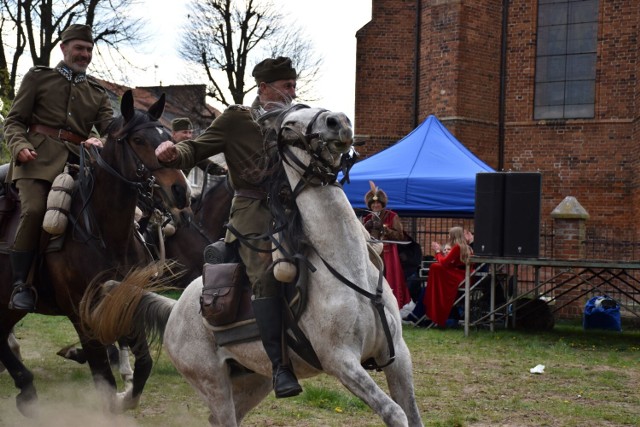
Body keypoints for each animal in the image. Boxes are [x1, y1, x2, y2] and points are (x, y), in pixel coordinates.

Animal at [0, 88, 190, 416]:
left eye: (168, 137)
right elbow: (103, 375)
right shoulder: (81, 313)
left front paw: (126, 395)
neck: (107, 235)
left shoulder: (127, 301)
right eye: (138, 140)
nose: (181, 190)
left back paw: (26, 389)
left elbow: (142, 364)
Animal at [82, 104, 424, 427]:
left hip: (254, 378)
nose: (338, 121)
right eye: (289, 125)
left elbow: (411, 413)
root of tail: (175, 309)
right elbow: (395, 413)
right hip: (213, 382)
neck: (349, 270)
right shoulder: (342, 362)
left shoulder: (399, 358)